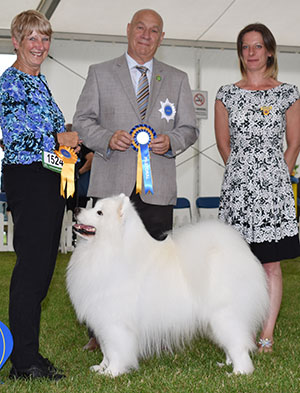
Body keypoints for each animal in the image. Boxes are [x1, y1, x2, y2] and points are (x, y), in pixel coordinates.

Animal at [67, 193, 268, 376]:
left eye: (99, 212)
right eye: (94, 206)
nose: (76, 209)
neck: (108, 249)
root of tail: (241, 254)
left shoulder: (115, 323)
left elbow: (116, 351)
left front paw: (112, 372)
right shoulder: (102, 320)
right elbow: (106, 351)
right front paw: (101, 367)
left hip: (224, 316)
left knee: (239, 346)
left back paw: (239, 372)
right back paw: (226, 364)